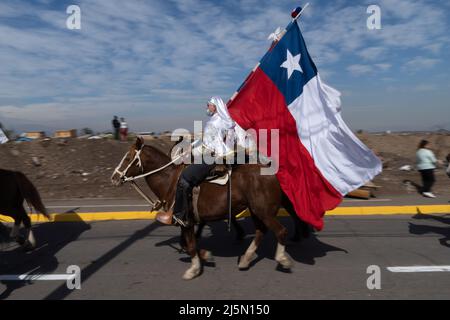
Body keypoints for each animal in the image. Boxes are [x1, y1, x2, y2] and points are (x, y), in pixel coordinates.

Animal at [112, 138, 308, 280]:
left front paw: (194, 269)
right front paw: (206, 255)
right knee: (261, 231)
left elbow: (190, 245)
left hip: (264, 211)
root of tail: (272, 171)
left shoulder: (186, 221)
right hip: (256, 210)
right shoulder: (186, 222)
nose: (114, 177)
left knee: (280, 231)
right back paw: (246, 259)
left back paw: (283, 259)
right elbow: (186, 243)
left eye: (128, 158)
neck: (170, 181)